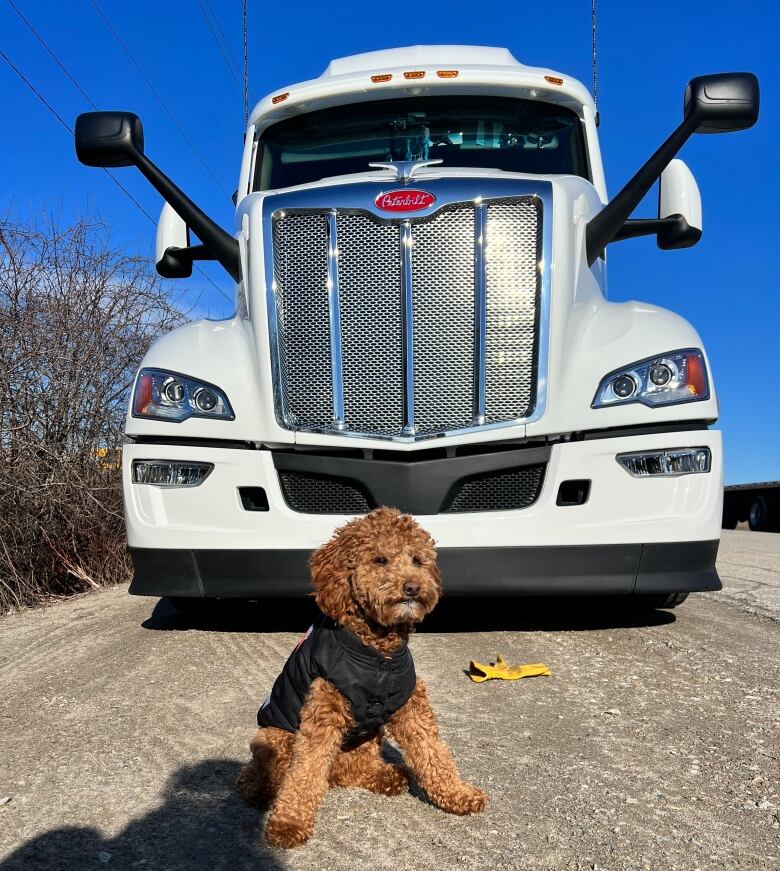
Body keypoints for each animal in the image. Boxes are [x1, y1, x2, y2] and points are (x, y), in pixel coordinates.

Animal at [236, 508, 488, 848]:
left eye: (417, 560)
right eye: (380, 560)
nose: (412, 587)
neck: (378, 654)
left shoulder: (411, 706)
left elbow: (432, 750)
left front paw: (456, 793)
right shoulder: (322, 712)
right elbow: (306, 771)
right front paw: (289, 823)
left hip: (368, 738)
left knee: (351, 771)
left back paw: (387, 775)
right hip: (273, 737)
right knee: (262, 776)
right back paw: (261, 790)